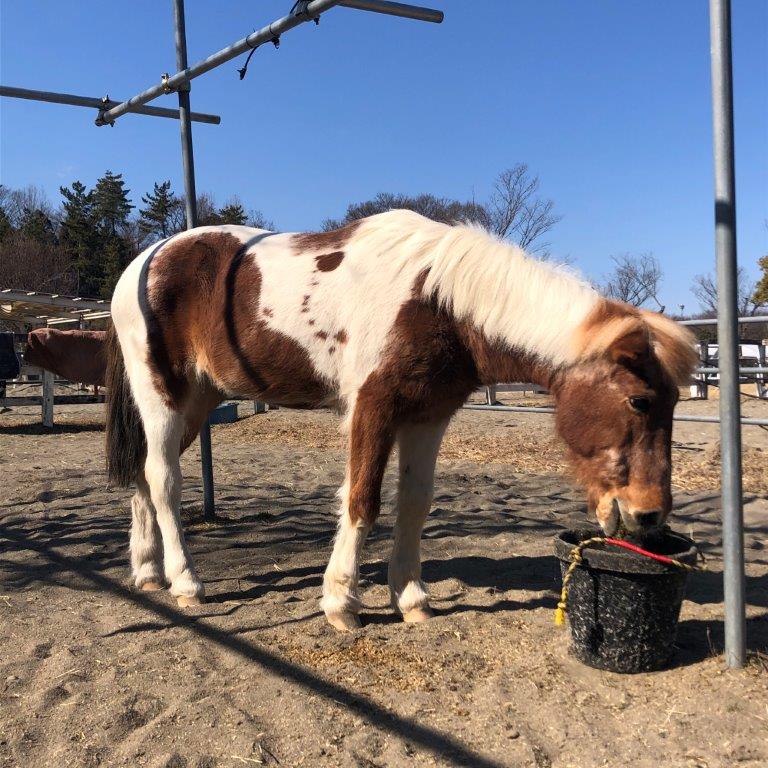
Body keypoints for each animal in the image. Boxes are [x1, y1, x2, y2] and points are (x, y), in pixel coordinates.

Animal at [105, 210, 700, 632]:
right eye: (640, 401)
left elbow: (414, 503)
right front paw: (341, 603)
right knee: (164, 480)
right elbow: (362, 500)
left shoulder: (427, 417)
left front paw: (411, 598)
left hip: (197, 402)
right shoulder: (373, 408)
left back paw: (148, 572)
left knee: (144, 477)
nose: (649, 515)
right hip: (163, 397)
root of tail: (141, 264)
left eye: (675, 401)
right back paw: (186, 581)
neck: (437, 302)